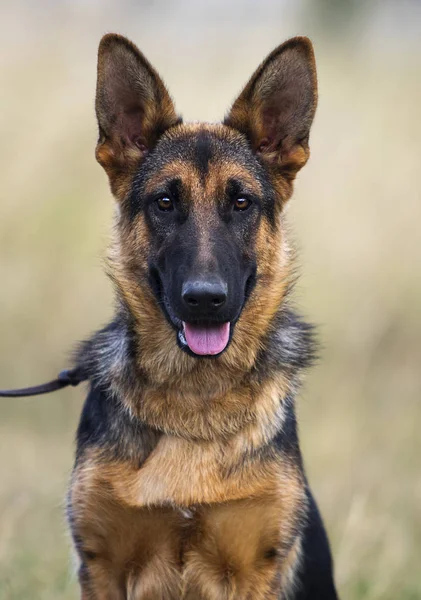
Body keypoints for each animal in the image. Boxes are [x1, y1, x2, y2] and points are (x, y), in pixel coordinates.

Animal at [68, 34, 338, 600]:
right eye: (166, 201)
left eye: (241, 202)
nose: (205, 298)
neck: (195, 399)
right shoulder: (103, 568)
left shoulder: (252, 570)